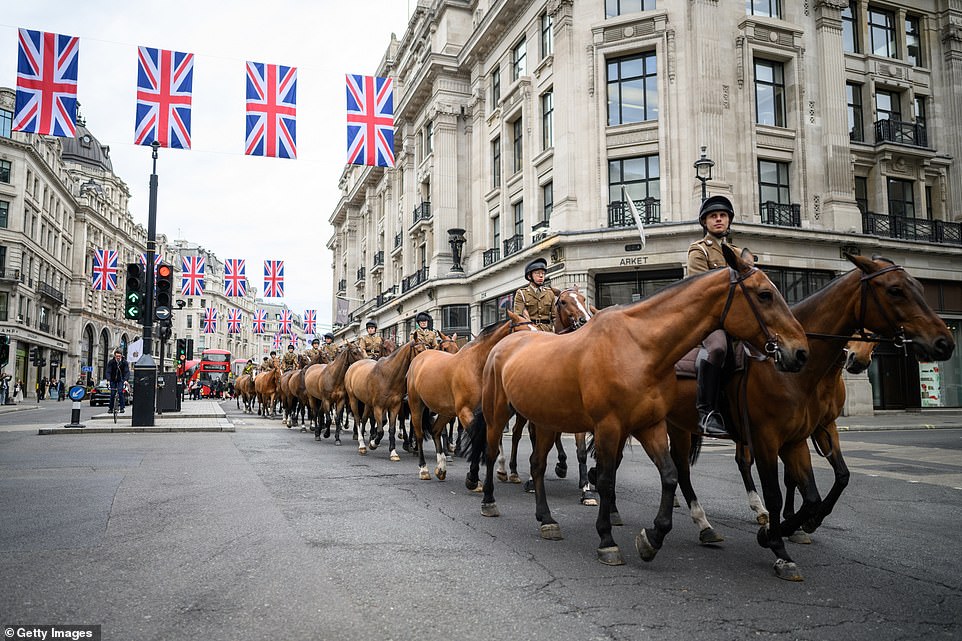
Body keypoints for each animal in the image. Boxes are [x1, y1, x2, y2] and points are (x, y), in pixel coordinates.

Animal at [406, 308, 540, 480]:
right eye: (523, 334)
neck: (477, 365)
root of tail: (420, 358)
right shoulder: (465, 411)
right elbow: (477, 438)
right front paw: (474, 476)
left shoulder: (489, 412)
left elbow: (493, 438)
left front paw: (499, 469)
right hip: (416, 405)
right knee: (419, 433)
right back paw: (423, 468)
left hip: (446, 411)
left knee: (436, 430)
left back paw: (441, 466)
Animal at [464, 245, 808, 564]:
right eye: (764, 295)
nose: (800, 352)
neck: (640, 347)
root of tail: (507, 342)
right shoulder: (607, 426)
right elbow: (605, 478)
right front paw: (606, 538)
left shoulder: (649, 425)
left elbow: (668, 474)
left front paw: (652, 537)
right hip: (498, 413)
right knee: (492, 450)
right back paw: (489, 499)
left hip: (547, 419)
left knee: (537, 464)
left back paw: (547, 519)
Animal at [664, 255, 956, 580]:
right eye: (895, 290)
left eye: (919, 286)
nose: (944, 342)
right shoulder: (767, 438)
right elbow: (777, 492)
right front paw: (778, 544)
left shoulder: (808, 433)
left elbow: (824, 485)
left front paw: (796, 525)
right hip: (677, 426)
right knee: (683, 470)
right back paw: (703, 523)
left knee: (721, 464)